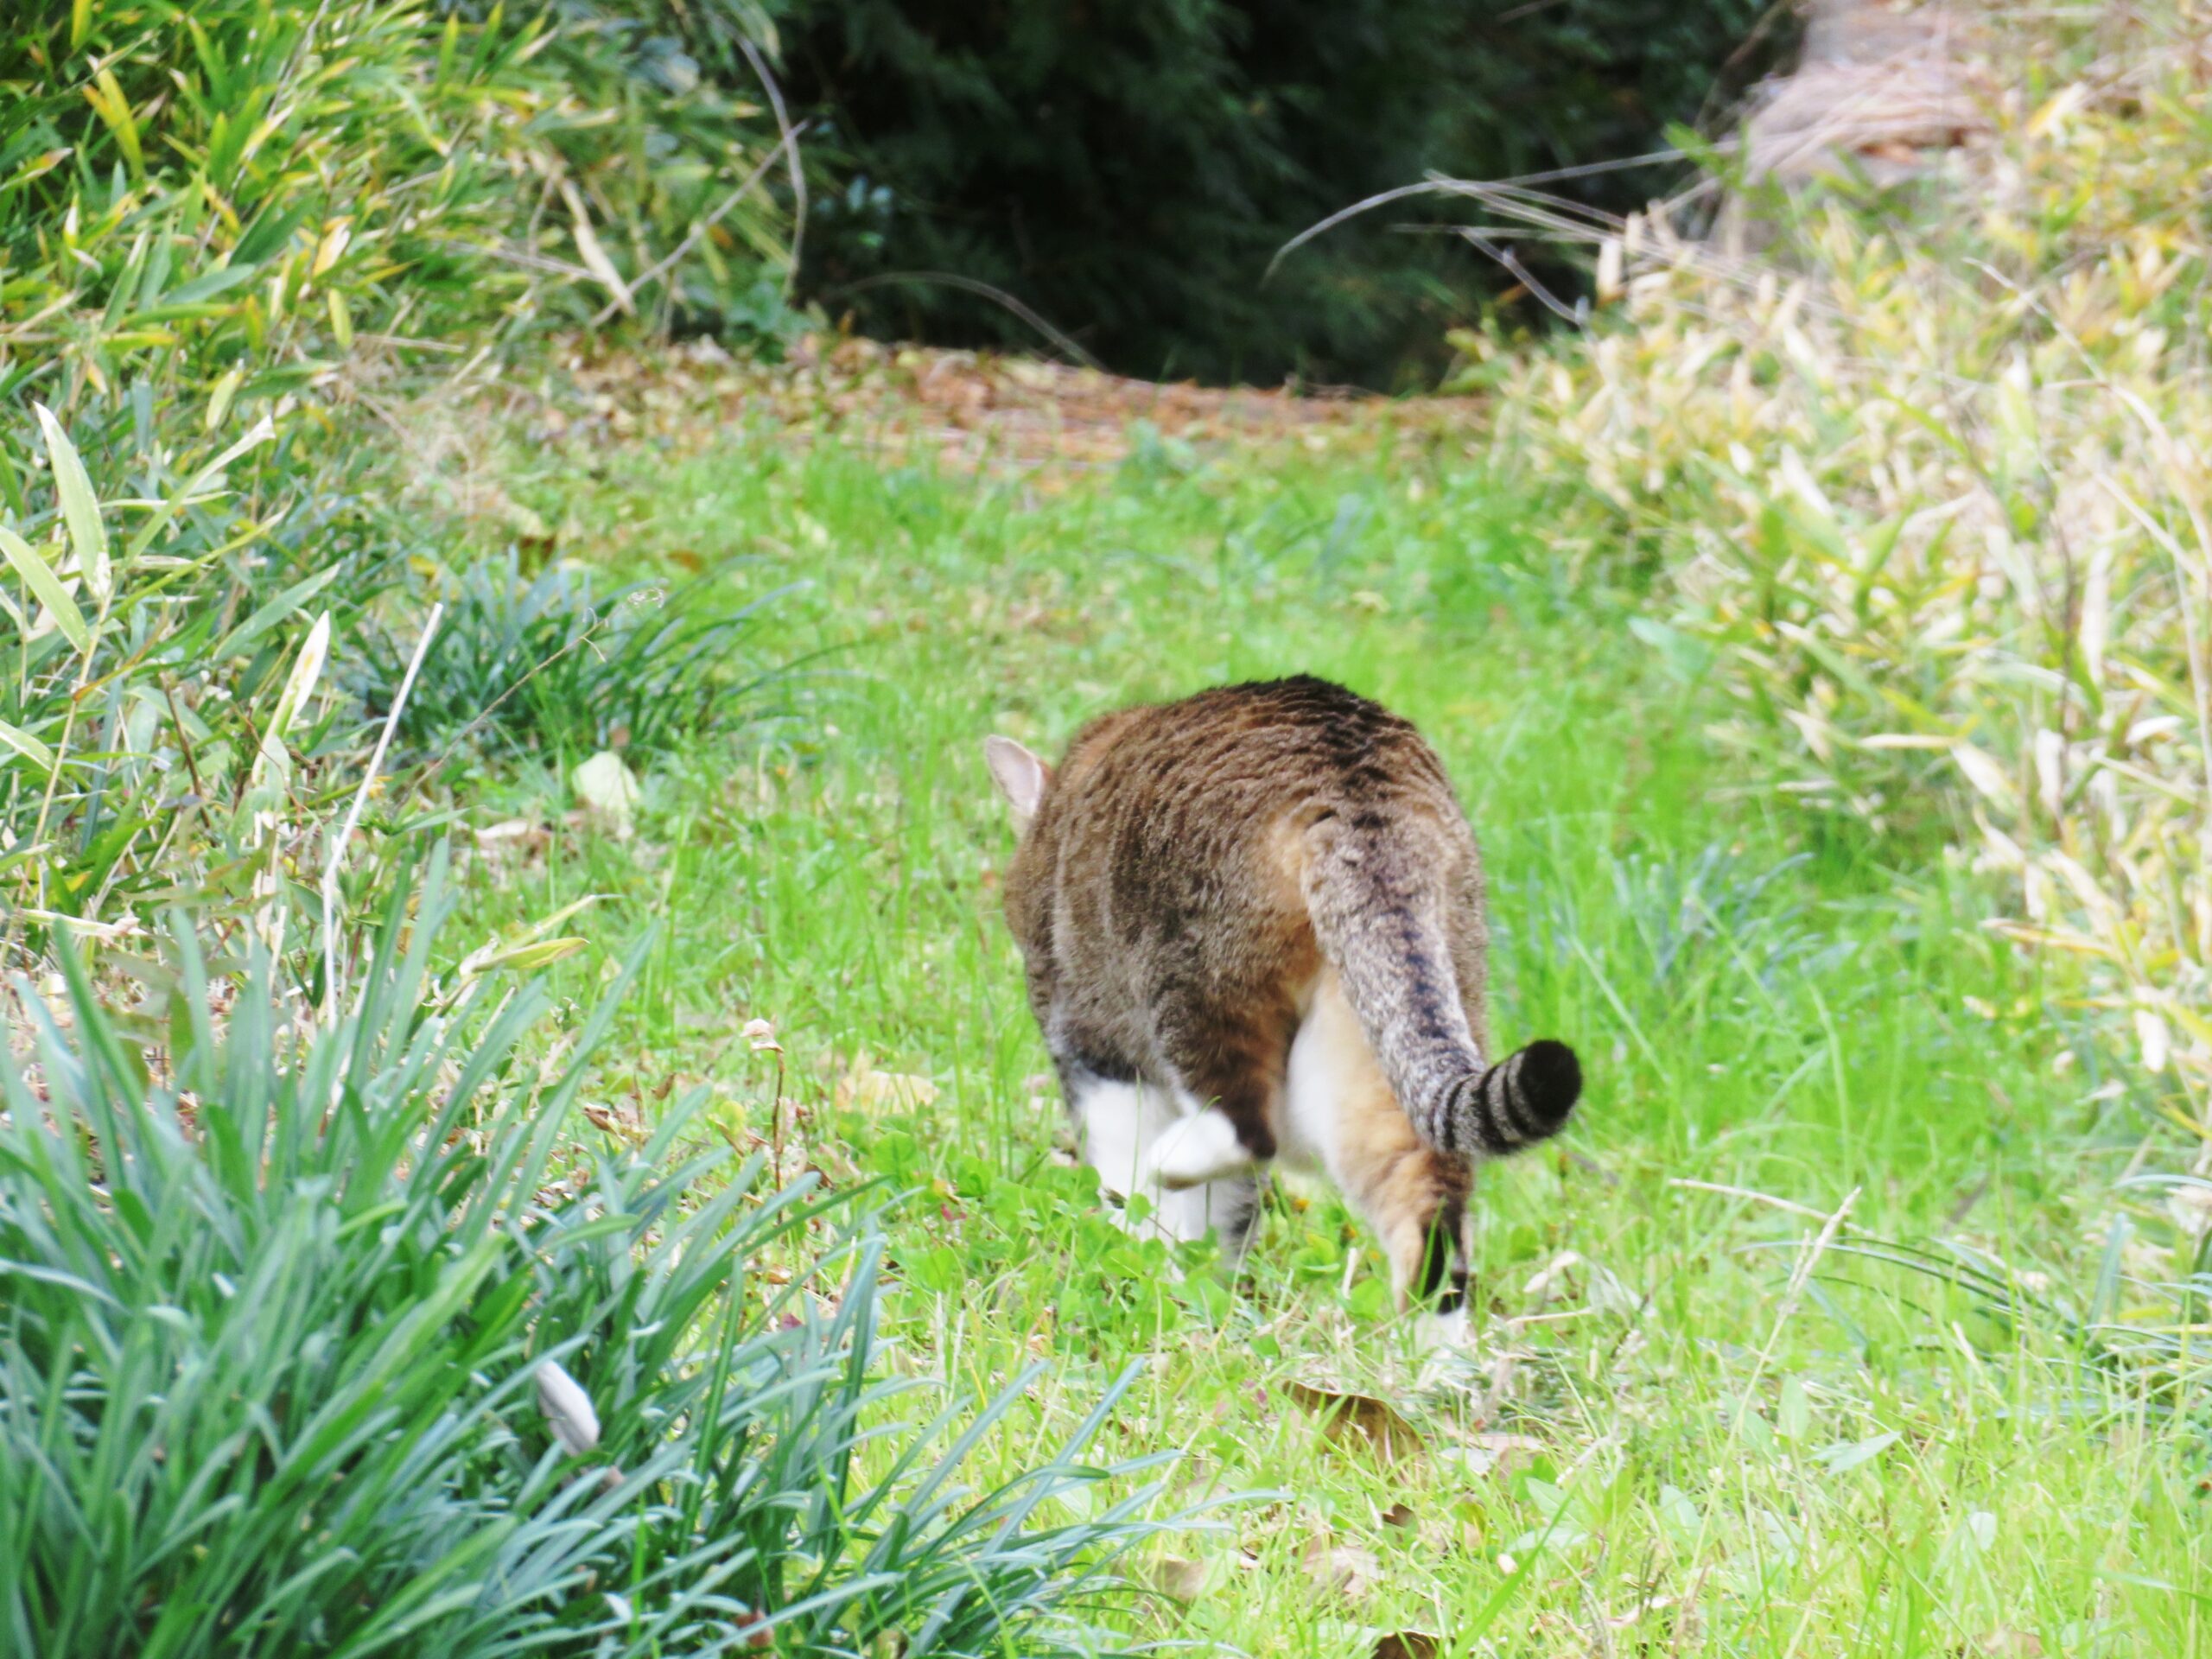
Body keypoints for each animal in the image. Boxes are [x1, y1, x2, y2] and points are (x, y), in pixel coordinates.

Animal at [990, 677, 1592, 1336]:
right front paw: (1198, 1294)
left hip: (1194, 985)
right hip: (1385, 1024)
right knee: (1429, 1215)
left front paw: (1145, 1271)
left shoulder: (1094, 1045)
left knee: (1248, 1129)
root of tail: (1355, 792)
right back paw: (1438, 1358)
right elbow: (1217, 1220)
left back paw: (1172, 1158)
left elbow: (1133, 1185)